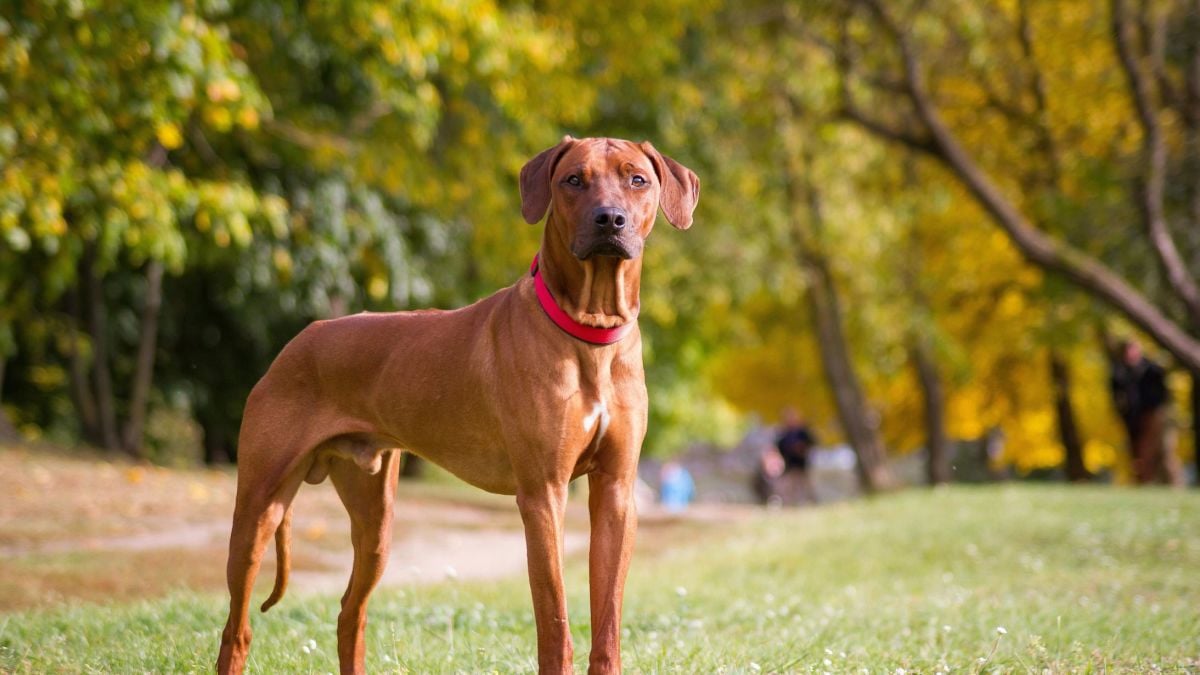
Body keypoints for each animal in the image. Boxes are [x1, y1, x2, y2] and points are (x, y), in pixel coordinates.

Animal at [218, 133, 696, 667]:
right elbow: (554, 620)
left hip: (376, 519)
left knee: (349, 614)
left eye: (638, 179)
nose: (609, 219)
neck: (588, 332)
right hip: (259, 505)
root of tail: (297, 341)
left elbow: (608, 620)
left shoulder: (616, 492)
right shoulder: (543, 494)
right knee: (237, 626)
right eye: (574, 179)